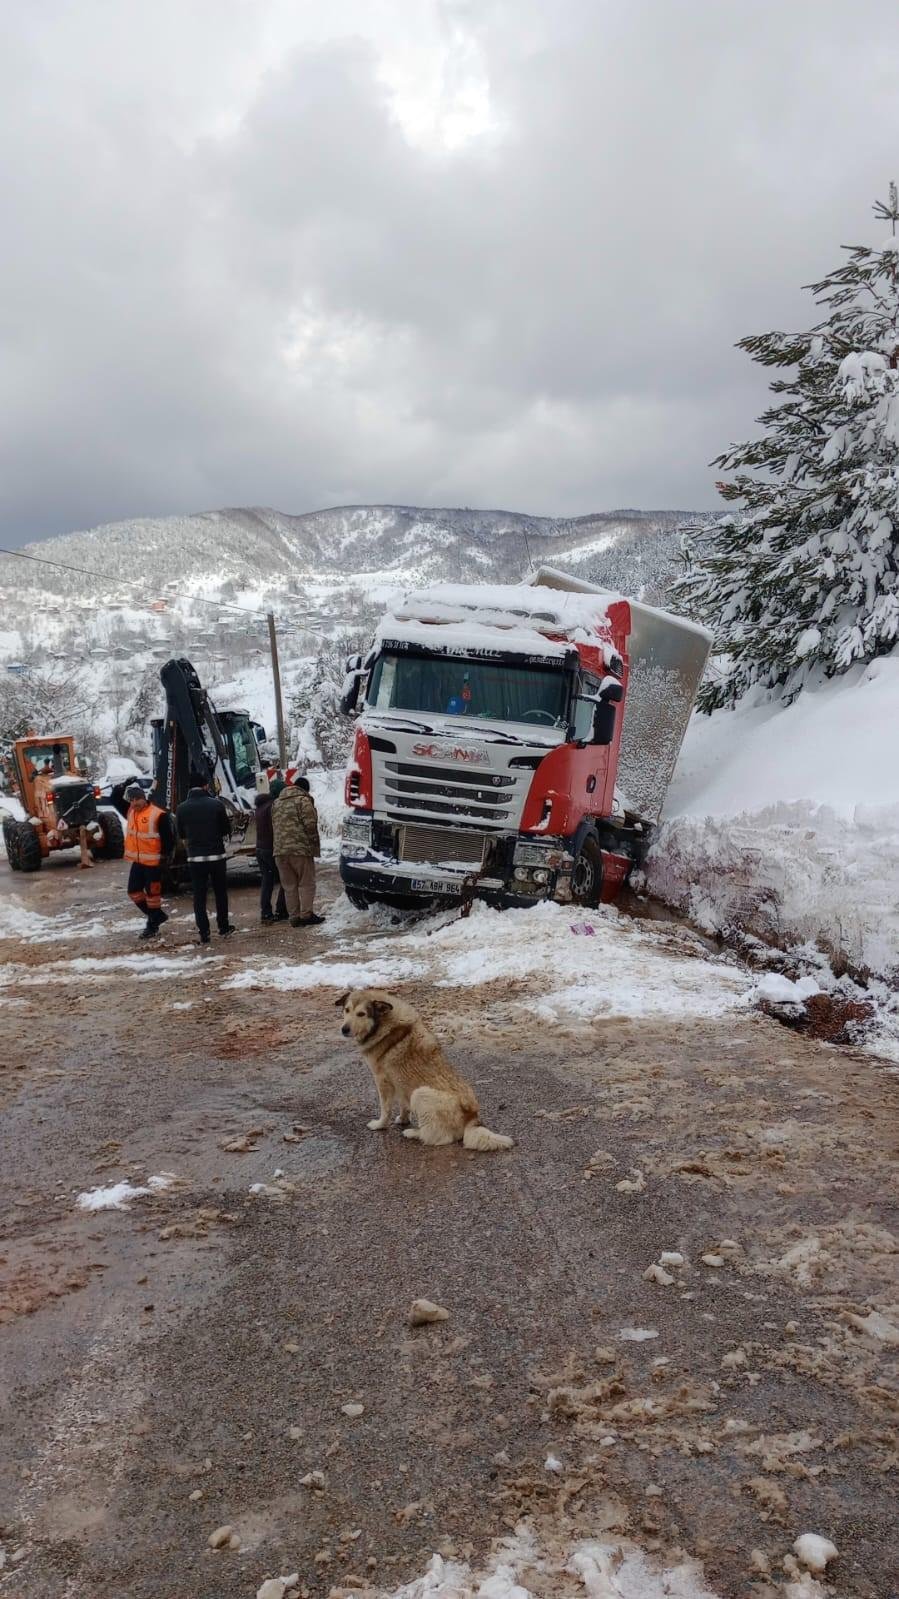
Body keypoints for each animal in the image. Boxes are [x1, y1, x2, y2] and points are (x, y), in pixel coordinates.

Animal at [337, 984, 511, 1151]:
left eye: (361, 1014)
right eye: (347, 1010)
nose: (344, 1029)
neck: (385, 1024)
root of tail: (472, 1119)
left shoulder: (383, 1081)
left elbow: (385, 1109)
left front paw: (379, 1125)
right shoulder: (399, 1081)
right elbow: (403, 1104)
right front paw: (403, 1119)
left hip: (420, 1094)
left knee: (440, 1138)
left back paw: (413, 1133)